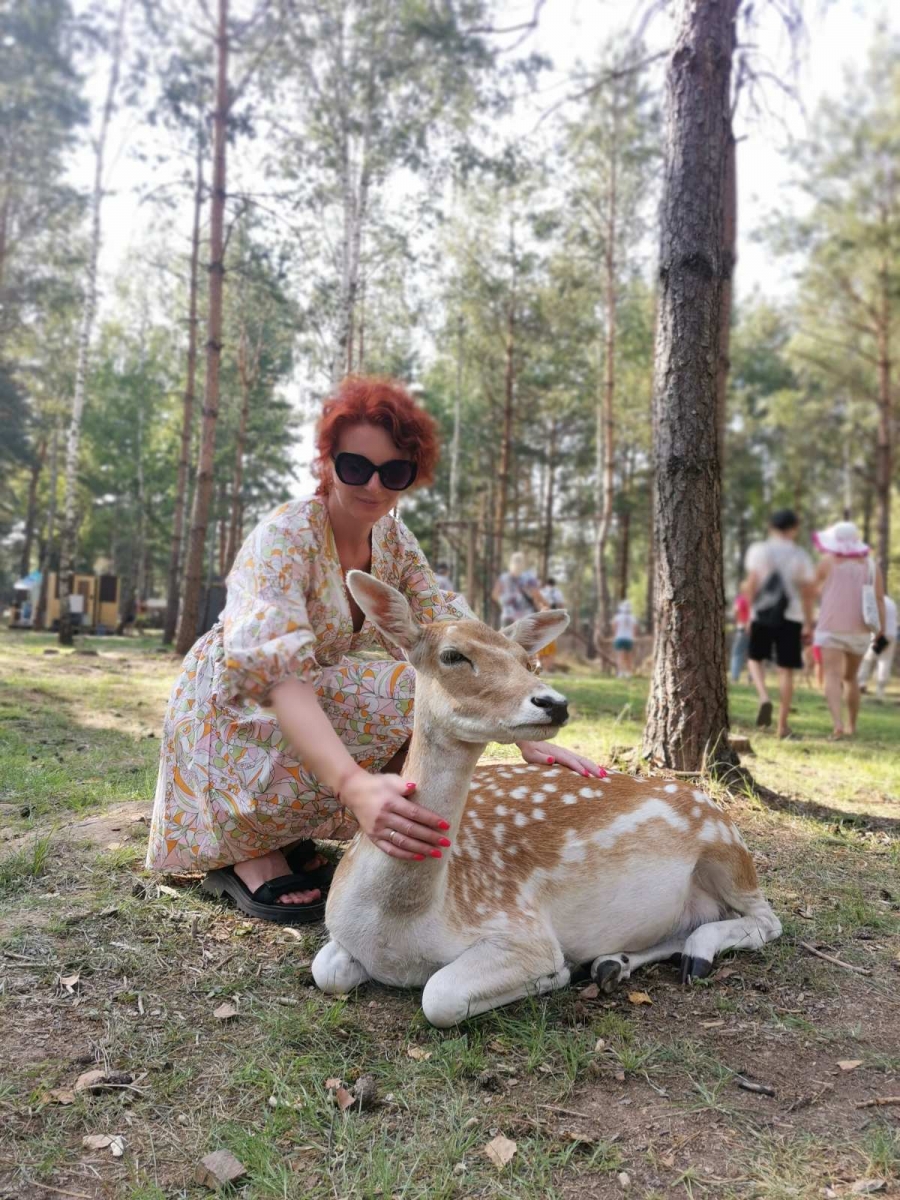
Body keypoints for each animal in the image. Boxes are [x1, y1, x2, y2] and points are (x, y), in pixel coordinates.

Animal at [311, 571, 781, 1027]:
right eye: (452, 656)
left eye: (526, 660)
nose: (554, 702)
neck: (398, 925)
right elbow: (325, 971)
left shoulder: (521, 929)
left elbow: (439, 995)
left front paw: (556, 974)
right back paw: (612, 964)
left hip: (727, 851)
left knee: (766, 919)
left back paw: (692, 956)